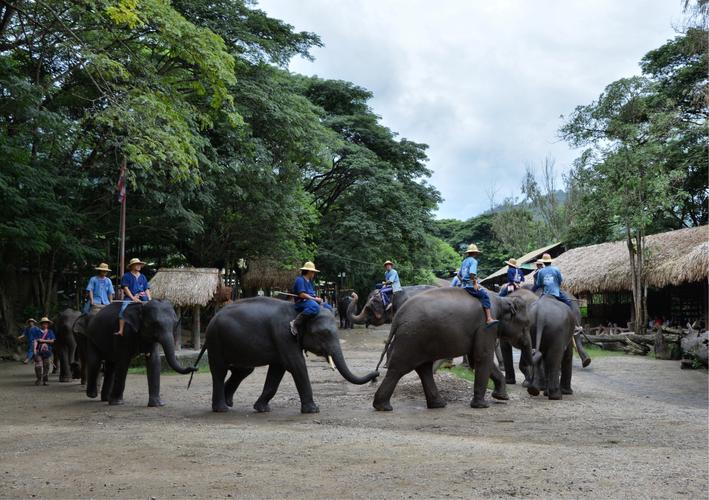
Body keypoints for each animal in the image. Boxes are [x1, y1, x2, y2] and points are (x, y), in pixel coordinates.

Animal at [370, 288, 532, 412]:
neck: (502, 299)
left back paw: (438, 405)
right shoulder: (487, 325)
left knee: (424, 368)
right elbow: (482, 357)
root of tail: (397, 317)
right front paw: (482, 406)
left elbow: (476, 358)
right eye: (525, 325)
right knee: (399, 368)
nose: (530, 386)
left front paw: (502, 397)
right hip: (411, 337)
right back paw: (383, 407)